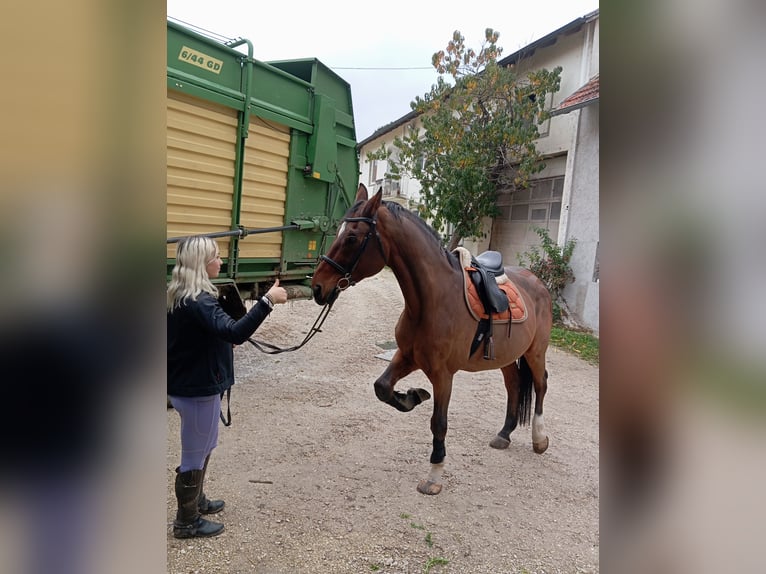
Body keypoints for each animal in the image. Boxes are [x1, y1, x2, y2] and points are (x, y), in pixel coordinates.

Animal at [308, 184, 556, 496]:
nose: (317, 287)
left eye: (352, 237)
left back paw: (539, 439)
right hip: (508, 356)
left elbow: (438, 423)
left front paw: (434, 474)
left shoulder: (442, 374)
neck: (431, 301)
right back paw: (504, 433)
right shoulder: (407, 356)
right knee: (513, 385)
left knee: (540, 384)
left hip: (535, 352)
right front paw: (412, 396)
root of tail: (537, 282)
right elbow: (382, 388)